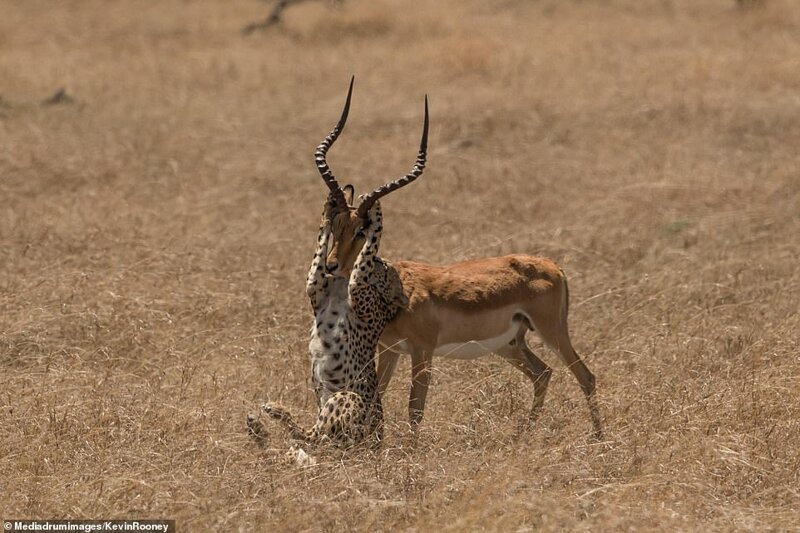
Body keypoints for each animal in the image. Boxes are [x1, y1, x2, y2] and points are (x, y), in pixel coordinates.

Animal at [316, 78, 604, 436]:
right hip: (510, 344)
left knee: (585, 376)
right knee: (543, 373)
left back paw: (597, 438)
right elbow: (375, 397)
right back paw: (523, 436)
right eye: (335, 225)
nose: (331, 266)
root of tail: (554, 267)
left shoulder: (422, 351)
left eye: (360, 231)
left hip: (551, 331)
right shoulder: (389, 349)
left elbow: (415, 409)